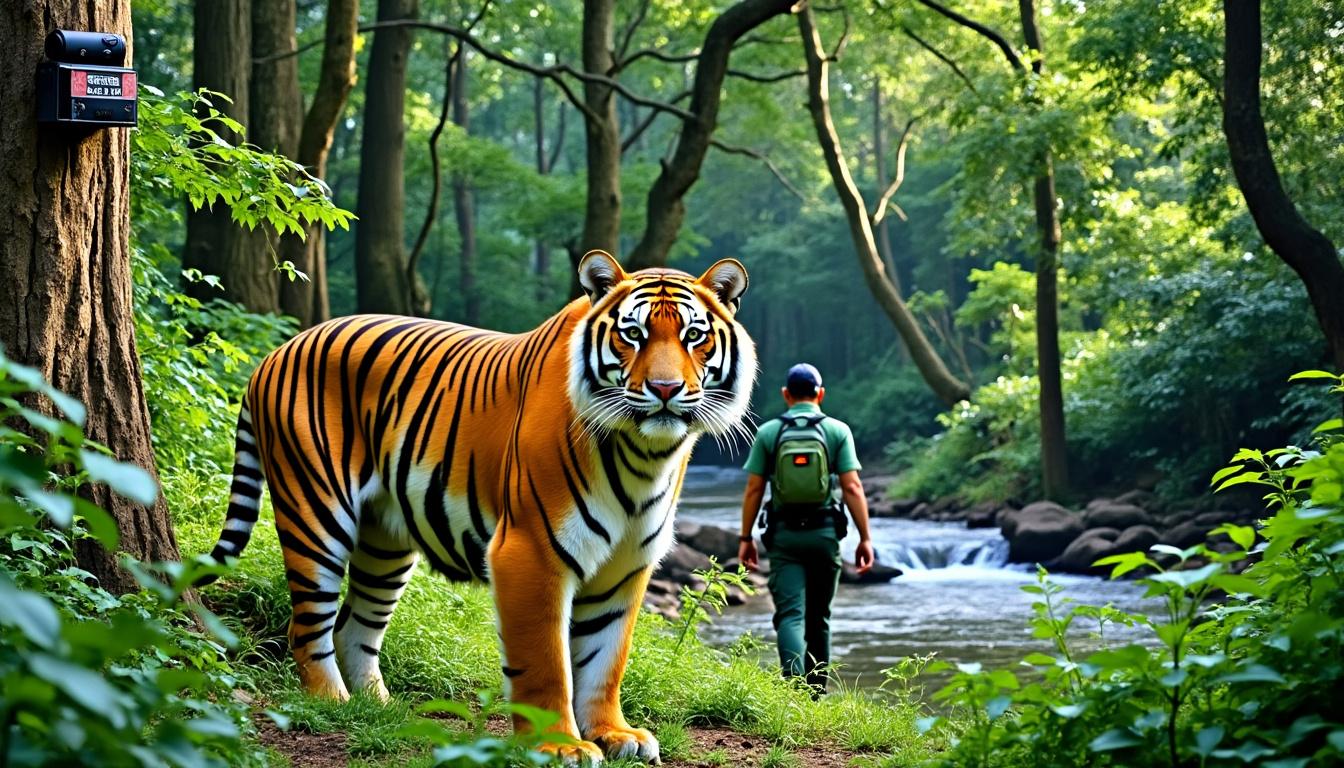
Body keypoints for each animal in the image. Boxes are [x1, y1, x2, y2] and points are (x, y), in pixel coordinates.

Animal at [202, 251, 756, 764]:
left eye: (694, 336)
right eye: (633, 335)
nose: (665, 389)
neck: (645, 455)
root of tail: (274, 353)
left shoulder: (625, 565)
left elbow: (606, 659)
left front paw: (614, 734)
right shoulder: (531, 553)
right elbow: (547, 663)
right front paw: (560, 746)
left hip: (384, 544)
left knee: (355, 628)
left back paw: (378, 710)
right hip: (316, 514)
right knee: (307, 625)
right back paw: (332, 702)